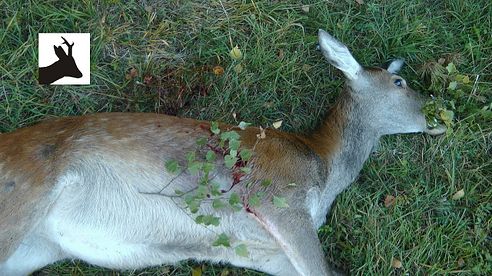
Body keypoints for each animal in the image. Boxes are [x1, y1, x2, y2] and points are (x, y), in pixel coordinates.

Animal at [0, 30, 446, 276]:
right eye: (400, 82)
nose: (437, 112)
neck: (324, 168)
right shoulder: (277, 198)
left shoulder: (263, 253)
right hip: (18, 203)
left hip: (35, 248)